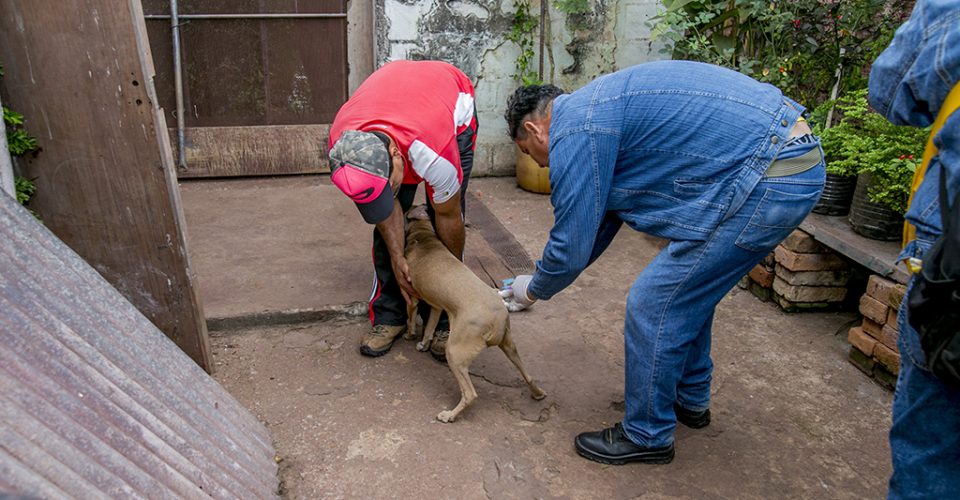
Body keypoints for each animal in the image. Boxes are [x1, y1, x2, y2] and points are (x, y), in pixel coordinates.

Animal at [402, 217, 544, 420]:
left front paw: (409, 334)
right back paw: (538, 394)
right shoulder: (437, 306)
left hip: (454, 352)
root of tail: (496, 321)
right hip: (510, 346)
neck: (424, 238)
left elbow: (411, 318)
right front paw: (423, 344)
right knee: (528, 375)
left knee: (470, 394)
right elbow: (429, 328)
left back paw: (449, 415)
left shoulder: (412, 296)